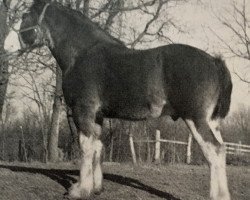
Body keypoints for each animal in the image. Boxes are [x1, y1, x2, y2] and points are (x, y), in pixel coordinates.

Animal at [3, 0, 232, 199]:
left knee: (215, 151)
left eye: (24, 15)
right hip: (211, 121)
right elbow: (98, 147)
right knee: (221, 150)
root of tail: (214, 61)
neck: (81, 54)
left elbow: (85, 147)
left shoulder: (83, 111)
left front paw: (79, 189)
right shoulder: (97, 116)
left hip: (196, 119)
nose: (5, 46)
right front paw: (96, 188)